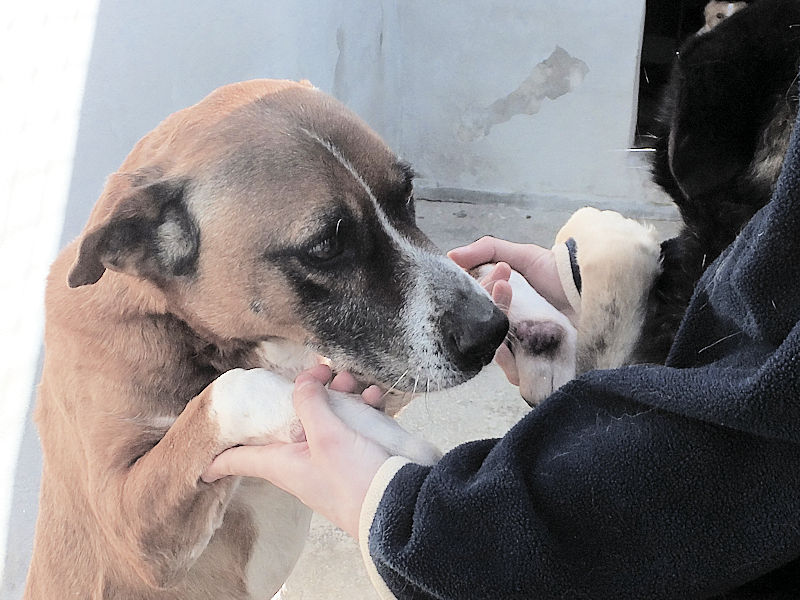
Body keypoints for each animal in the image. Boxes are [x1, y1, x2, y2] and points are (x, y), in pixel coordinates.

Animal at [24, 79, 509, 599]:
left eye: (407, 195)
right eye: (326, 246)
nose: (490, 331)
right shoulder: (127, 524)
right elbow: (236, 387)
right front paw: (372, 430)